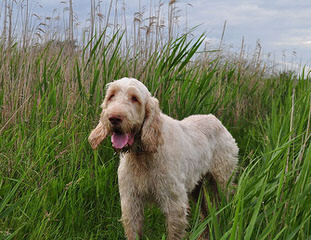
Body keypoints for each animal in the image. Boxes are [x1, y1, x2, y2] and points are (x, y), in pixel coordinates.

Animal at [89, 78, 240, 239]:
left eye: (134, 98)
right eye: (111, 96)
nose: (114, 118)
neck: (142, 155)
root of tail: (216, 120)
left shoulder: (175, 204)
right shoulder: (131, 203)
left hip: (223, 182)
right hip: (196, 188)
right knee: (206, 213)